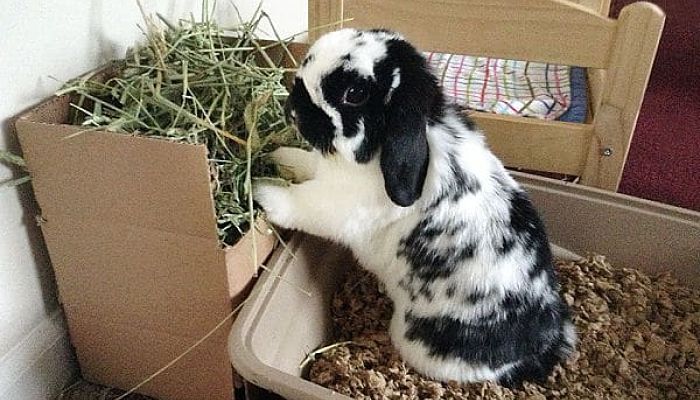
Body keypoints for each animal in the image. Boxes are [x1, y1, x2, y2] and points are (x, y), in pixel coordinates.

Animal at [254, 28, 576, 387]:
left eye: (354, 94)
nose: (292, 110)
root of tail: (541, 345)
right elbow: (305, 163)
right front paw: (277, 157)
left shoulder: (336, 204)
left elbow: (300, 203)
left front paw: (261, 189)